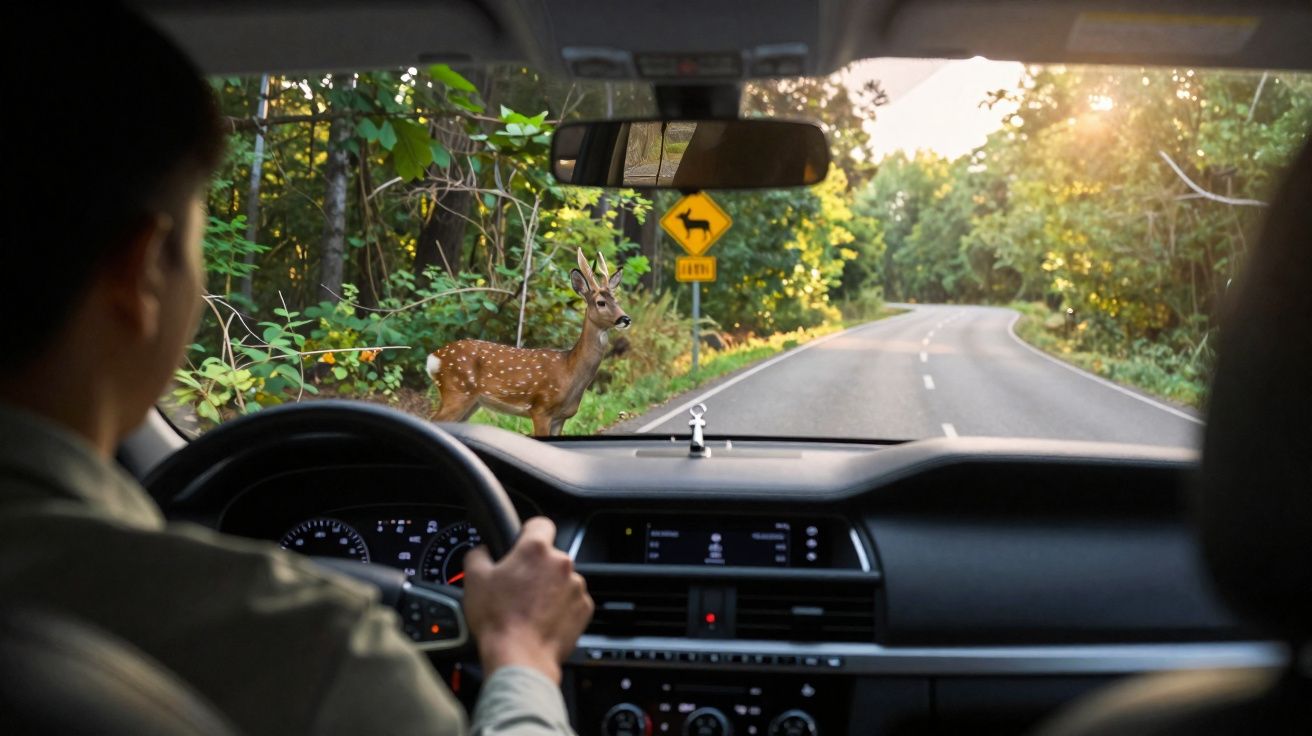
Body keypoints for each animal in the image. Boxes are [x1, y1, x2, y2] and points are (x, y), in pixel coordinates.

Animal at [425, 248, 631, 436]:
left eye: (617, 300)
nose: (625, 319)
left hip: (472, 402)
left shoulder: (561, 417)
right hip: (457, 391)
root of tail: (433, 358)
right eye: (601, 302)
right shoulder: (541, 409)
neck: (569, 371)